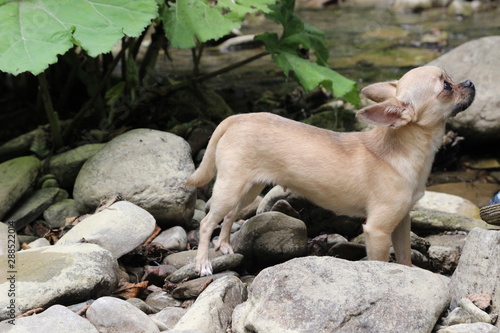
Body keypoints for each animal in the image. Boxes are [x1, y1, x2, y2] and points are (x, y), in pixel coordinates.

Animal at [186, 65, 474, 274]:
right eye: (446, 86)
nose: (470, 83)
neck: (402, 148)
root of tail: (237, 118)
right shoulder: (378, 230)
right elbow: (380, 261)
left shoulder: (401, 222)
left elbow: (404, 256)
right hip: (231, 187)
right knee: (207, 222)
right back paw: (202, 263)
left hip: (246, 190)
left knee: (230, 214)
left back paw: (224, 245)